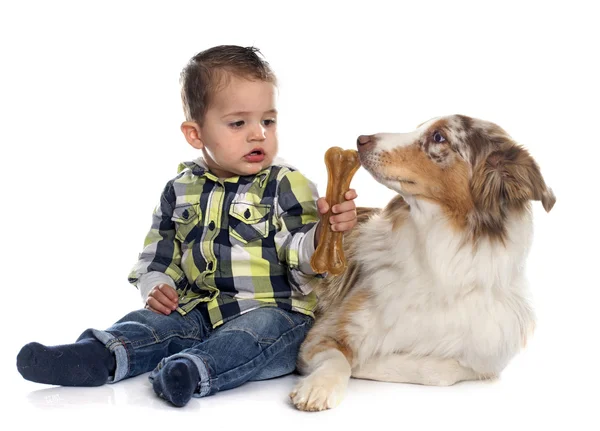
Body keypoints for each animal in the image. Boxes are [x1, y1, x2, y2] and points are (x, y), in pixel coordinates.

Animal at [288, 115, 556, 412]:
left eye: (439, 137)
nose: (360, 139)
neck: (437, 259)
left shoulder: (487, 359)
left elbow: (441, 371)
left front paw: (371, 361)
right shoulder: (323, 333)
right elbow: (339, 359)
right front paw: (319, 386)